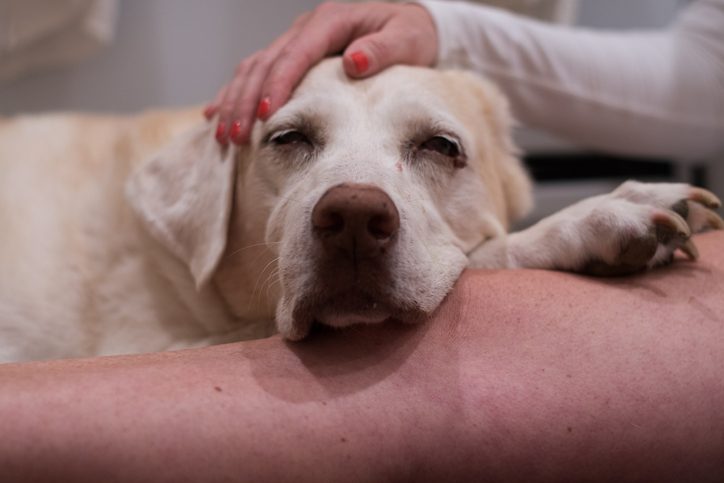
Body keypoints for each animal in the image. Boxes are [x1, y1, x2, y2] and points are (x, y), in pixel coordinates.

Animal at [1, 59, 724, 364]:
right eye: (287, 138)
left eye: (440, 146)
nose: (350, 220)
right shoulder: (143, 343)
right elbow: (486, 253)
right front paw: (595, 216)